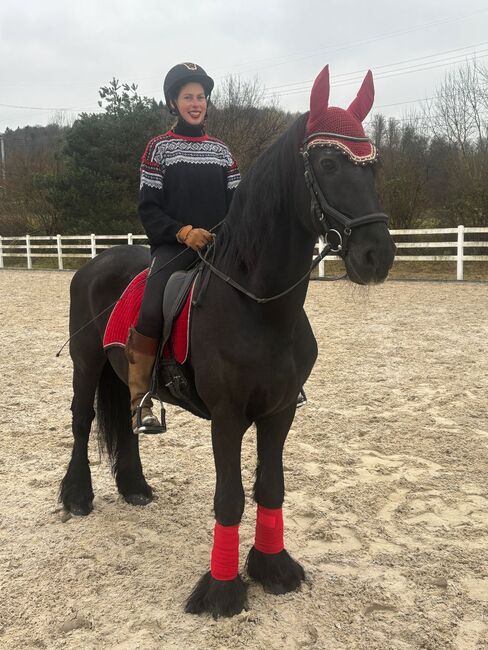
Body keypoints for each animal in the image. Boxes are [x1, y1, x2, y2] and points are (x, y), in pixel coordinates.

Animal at [61, 67, 396, 616]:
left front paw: (273, 568)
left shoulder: (279, 412)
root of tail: (96, 262)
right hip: (86, 363)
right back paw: (75, 496)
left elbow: (271, 488)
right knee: (82, 420)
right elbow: (231, 497)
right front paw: (221, 591)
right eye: (328, 163)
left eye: (374, 166)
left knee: (128, 420)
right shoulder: (227, 416)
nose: (377, 255)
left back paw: (135, 488)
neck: (259, 307)